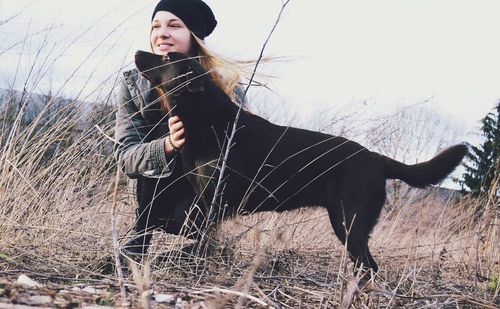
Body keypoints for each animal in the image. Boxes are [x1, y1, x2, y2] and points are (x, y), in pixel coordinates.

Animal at [135, 50, 466, 272]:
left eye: (166, 57)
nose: (139, 51)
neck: (204, 117)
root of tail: (374, 157)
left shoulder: (215, 204)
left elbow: (201, 243)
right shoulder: (203, 203)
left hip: (349, 222)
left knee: (369, 266)